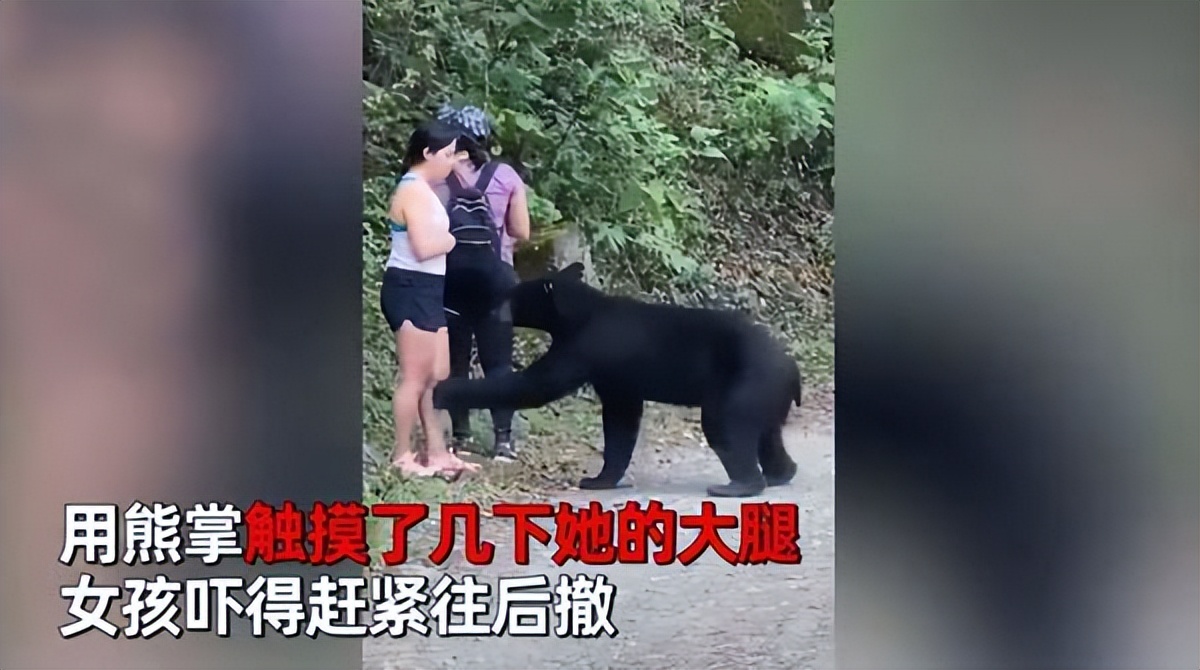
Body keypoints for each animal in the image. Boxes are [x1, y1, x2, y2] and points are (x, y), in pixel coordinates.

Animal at [431, 262, 803, 497]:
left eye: (511, 297)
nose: (492, 311)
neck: (576, 314)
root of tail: (791, 367)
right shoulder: (616, 375)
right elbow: (621, 419)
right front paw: (600, 479)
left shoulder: (586, 346)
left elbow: (537, 386)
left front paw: (446, 390)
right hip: (766, 395)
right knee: (768, 434)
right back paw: (780, 472)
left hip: (746, 383)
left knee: (726, 426)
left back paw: (738, 485)